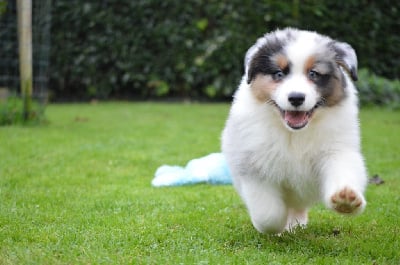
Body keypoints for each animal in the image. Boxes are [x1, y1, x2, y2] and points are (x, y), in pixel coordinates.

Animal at [222, 27, 368, 233]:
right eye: (279, 74)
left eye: (314, 73)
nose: (296, 98)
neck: (294, 133)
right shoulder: (254, 163)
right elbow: (268, 214)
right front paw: (276, 227)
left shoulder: (337, 148)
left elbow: (343, 168)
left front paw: (346, 198)